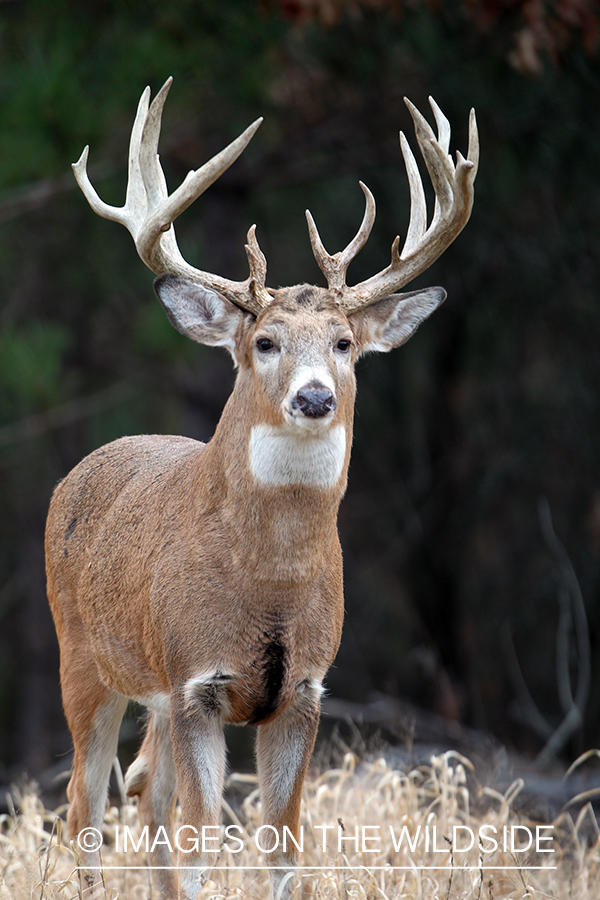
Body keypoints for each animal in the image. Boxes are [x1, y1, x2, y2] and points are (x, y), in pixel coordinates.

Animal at [45, 79, 478, 900]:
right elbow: (202, 843)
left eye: (344, 344)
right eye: (266, 342)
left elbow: (284, 851)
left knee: (145, 792)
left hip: (149, 691)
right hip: (83, 655)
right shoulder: (195, 680)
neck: (268, 578)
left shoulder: (305, 691)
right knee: (86, 803)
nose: (314, 397)